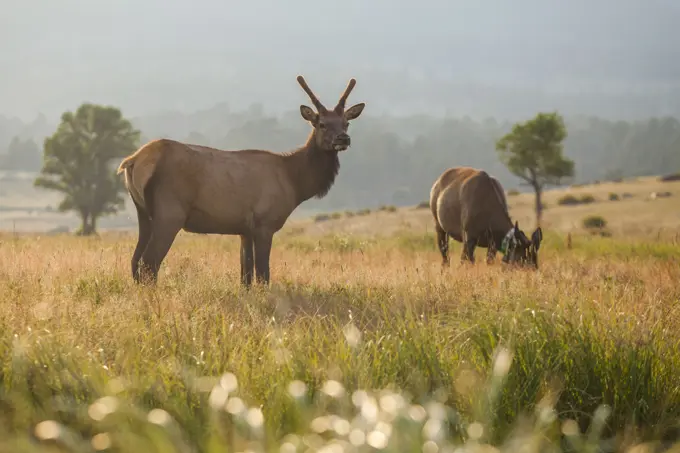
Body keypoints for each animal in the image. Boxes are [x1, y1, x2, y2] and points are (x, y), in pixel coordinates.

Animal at [119, 74, 370, 286]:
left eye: (346, 122)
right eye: (321, 124)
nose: (343, 138)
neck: (294, 181)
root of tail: (132, 160)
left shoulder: (244, 229)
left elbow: (245, 276)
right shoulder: (264, 222)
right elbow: (263, 275)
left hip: (143, 211)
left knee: (134, 261)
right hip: (170, 210)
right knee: (148, 263)